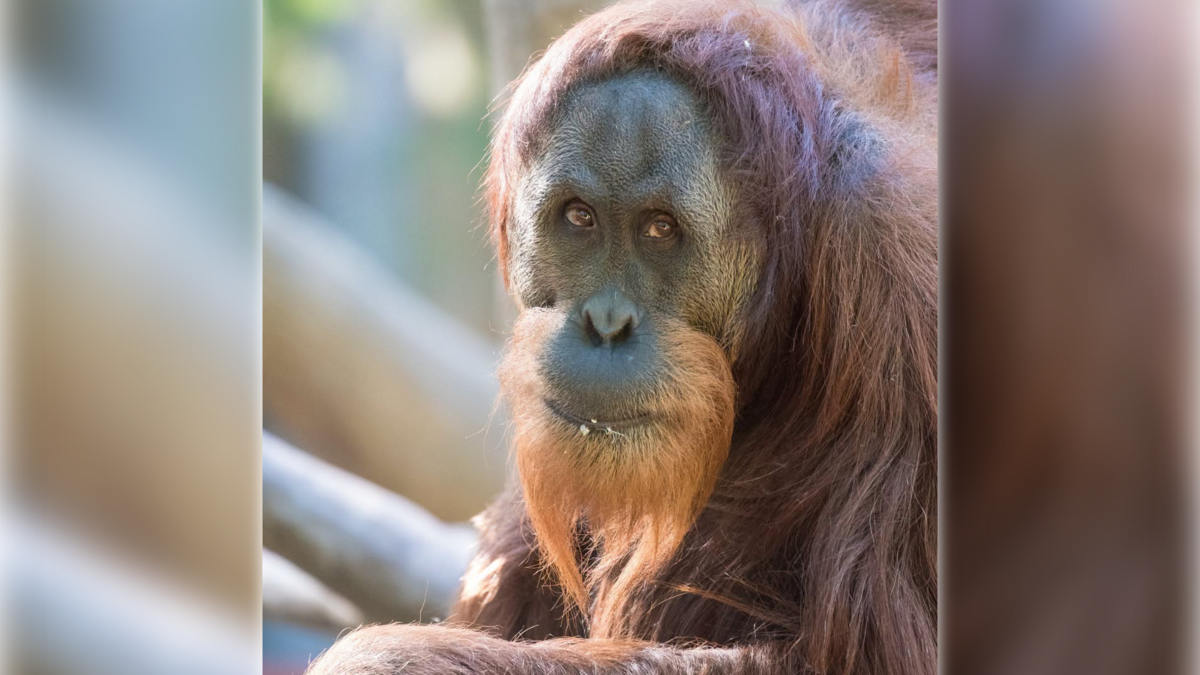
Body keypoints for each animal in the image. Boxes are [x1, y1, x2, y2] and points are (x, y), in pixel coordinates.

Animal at [308, 0, 937, 672]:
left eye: (659, 229)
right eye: (580, 217)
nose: (606, 323)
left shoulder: (901, 283)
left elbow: (865, 655)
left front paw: (384, 656)